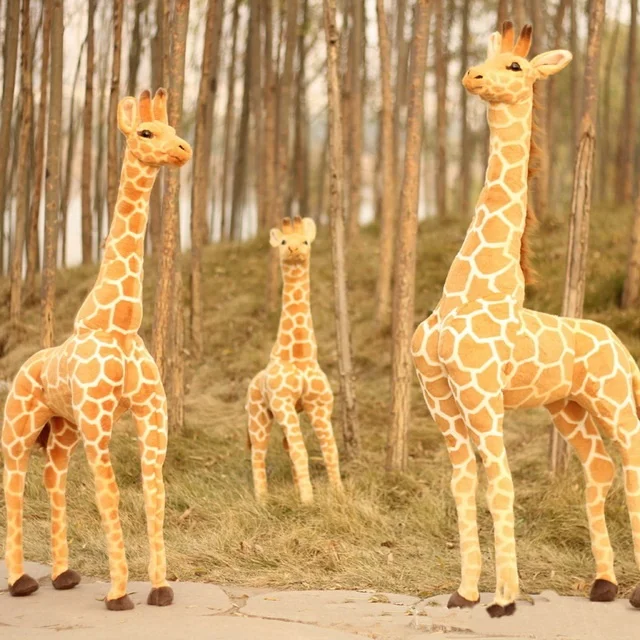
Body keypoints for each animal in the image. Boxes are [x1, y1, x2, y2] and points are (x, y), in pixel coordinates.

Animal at [2, 89, 192, 611]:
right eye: (146, 132)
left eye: (173, 128)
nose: (183, 150)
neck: (119, 324)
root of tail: (23, 366)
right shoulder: (98, 422)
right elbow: (110, 496)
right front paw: (119, 593)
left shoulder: (151, 415)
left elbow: (154, 494)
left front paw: (161, 589)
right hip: (19, 426)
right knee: (14, 484)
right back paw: (21, 581)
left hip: (63, 431)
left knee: (54, 480)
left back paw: (63, 574)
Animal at [247, 216, 343, 504]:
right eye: (282, 241)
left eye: (306, 241)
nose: (294, 250)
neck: (300, 355)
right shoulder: (283, 402)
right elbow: (303, 450)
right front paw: (308, 500)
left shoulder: (319, 405)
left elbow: (330, 449)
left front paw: (339, 494)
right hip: (258, 414)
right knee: (258, 452)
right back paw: (262, 499)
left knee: (286, 445)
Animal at [412, 21, 640, 617]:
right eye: (485, 56)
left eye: (515, 67)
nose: (473, 76)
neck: (468, 289)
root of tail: (621, 345)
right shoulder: (440, 397)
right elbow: (464, 485)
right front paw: (465, 593)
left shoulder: (480, 393)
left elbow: (501, 483)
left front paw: (504, 599)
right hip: (568, 407)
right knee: (599, 468)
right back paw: (604, 585)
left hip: (615, 400)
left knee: (633, 466)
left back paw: (633, 594)